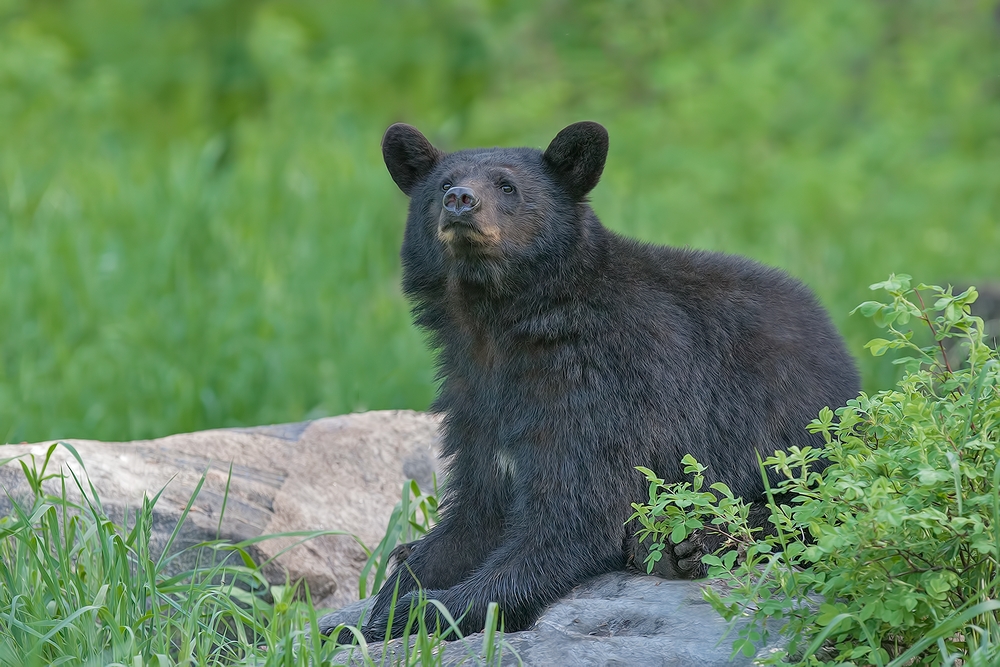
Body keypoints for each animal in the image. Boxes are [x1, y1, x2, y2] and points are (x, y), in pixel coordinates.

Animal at [346, 122, 860, 644]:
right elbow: (475, 511)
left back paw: (688, 546)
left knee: (801, 511)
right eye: (442, 185)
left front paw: (422, 610)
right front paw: (380, 607)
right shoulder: (476, 403)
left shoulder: (603, 388)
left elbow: (574, 518)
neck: (501, 328)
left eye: (507, 187)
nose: (460, 201)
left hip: (797, 431)